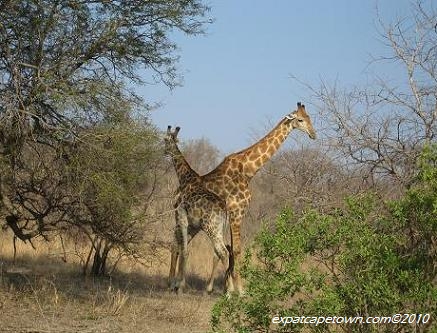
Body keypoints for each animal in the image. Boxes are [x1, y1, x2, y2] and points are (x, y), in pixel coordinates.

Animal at [164, 125, 232, 294]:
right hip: (220, 229)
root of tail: (224, 210)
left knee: (223, 252)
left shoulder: (181, 218)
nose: (164, 152)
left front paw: (178, 286)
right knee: (222, 252)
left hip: (211, 228)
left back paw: (229, 290)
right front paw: (176, 284)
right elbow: (180, 247)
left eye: (165, 139)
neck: (184, 178)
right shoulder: (193, 225)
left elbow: (183, 249)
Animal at [199, 102, 316, 294]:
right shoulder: (237, 211)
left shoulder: (235, 214)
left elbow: (231, 249)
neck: (248, 171)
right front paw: (239, 290)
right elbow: (236, 250)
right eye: (300, 120)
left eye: (309, 118)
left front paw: (229, 287)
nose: (313, 134)